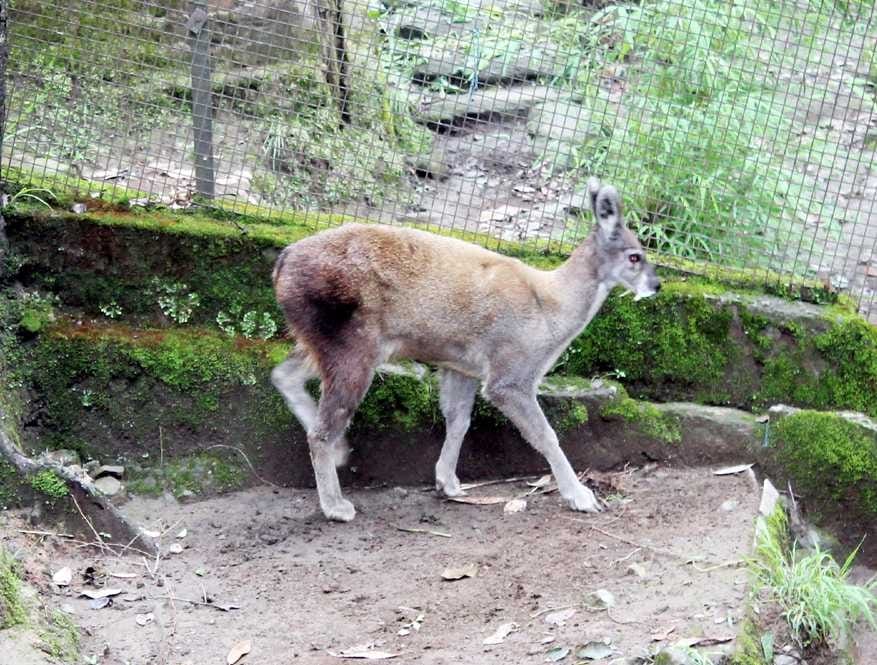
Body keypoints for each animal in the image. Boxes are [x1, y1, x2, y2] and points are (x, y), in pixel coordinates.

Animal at [271, 178, 661, 522]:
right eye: (634, 256)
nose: (657, 285)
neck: (550, 310)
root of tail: (281, 264)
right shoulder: (511, 370)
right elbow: (545, 434)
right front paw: (582, 497)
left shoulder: (462, 364)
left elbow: (459, 420)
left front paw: (448, 483)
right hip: (350, 340)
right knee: (320, 428)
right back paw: (336, 505)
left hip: (324, 338)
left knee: (282, 374)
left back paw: (340, 452)